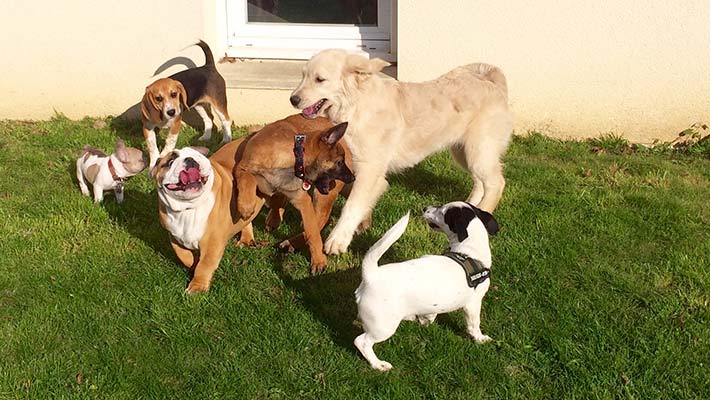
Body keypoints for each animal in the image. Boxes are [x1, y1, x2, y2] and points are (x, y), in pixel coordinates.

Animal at [152, 141, 262, 294]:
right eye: (170, 161)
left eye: (196, 156)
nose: (190, 160)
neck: (188, 208)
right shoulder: (174, 236)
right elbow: (184, 256)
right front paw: (193, 264)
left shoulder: (212, 243)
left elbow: (205, 265)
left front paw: (197, 286)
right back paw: (246, 240)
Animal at [235, 114, 354, 274]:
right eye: (339, 162)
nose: (352, 178)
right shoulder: (242, 168)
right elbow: (246, 180)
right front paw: (246, 211)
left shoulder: (302, 200)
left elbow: (312, 233)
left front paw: (318, 261)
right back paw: (273, 220)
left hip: (322, 197)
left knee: (319, 220)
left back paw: (290, 242)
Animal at [292, 49, 516, 253]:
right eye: (302, 76)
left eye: (320, 79)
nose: (293, 100)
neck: (356, 107)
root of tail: (493, 83)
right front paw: (360, 227)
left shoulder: (368, 169)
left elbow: (351, 206)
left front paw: (337, 241)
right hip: (465, 153)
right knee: (480, 181)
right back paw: (470, 207)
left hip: (479, 149)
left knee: (496, 183)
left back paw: (483, 214)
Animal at [354, 202, 500, 370]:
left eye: (442, 212)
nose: (425, 208)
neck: (468, 253)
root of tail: (372, 275)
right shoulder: (473, 303)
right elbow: (474, 325)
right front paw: (480, 339)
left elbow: (431, 313)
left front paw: (424, 321)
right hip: (383, 326)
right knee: (362, 342)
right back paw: (378, 364)